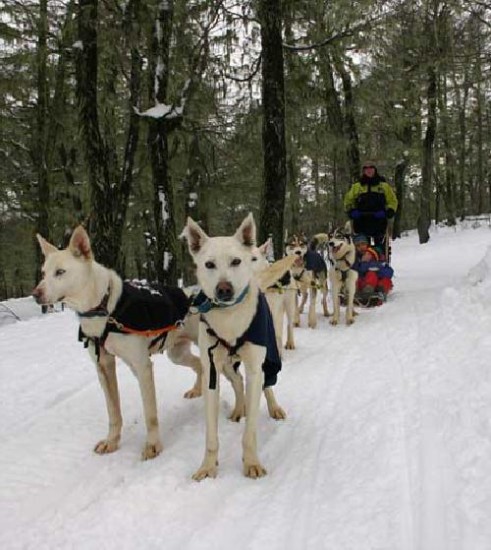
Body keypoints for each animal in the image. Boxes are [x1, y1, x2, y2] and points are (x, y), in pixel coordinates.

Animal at [32, 224, 203, 462]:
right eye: (44, 273)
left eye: (60, 272)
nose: (35, 294)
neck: (104, 308)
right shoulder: (103, 367)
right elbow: (114, 412)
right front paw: (111, 442)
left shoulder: (143, 366)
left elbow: (150, 413)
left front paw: (153, 445)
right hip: (177, 354)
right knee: (199, 365)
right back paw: (198, 390)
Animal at [183, 213, 284, 480]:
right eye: (209, 264)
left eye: (236, 261)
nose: (224, 289)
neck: (230, 320)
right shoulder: (211, 371)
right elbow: (211, 436)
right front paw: (207, 466)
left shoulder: (254, 368)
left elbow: (250, 432)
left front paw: (251, 463)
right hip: (226, 365)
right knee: (238, 382)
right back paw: (240, 409)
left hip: (266, 360)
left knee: (266, 385)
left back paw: (274, 408)